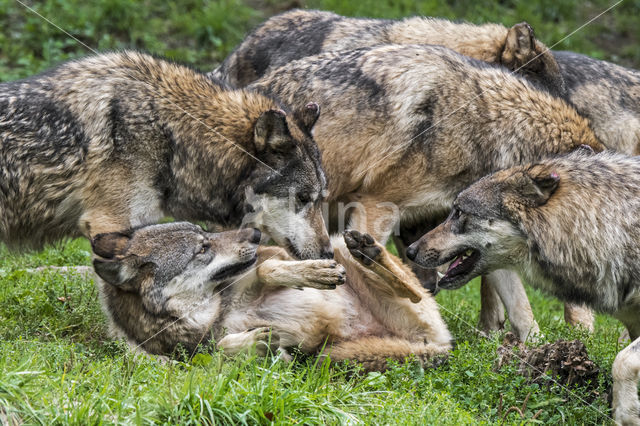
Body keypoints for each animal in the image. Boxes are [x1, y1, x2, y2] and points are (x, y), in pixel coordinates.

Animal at [92, 221, 452, 372]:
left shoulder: (273, 254)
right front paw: (257, 344)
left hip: (338, 244)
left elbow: (267, 269)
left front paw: (315, 274)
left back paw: (368, 251)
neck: (213, 312)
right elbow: (218, 349)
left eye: (206, 234)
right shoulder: (188, 355)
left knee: (412, 290)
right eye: (202, 248)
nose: (255, 233)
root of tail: (438, 344)